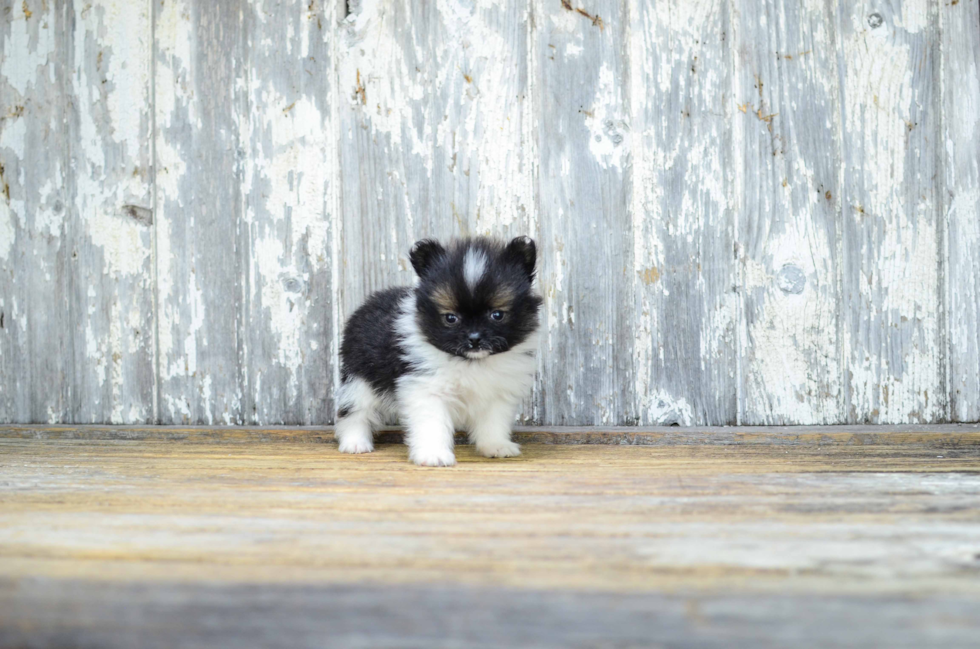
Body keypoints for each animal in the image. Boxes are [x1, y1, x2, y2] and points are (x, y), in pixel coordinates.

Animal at [334, 235, 540, 464]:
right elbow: (432, 424)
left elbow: (493, 422)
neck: (471, 362)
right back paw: (355, 442)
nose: (474, 338)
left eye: (497, 315)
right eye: (450, 318)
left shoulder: (497, 393)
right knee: (354, 412)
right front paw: (433, 455)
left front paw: (496, 446)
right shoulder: (426, 389)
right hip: (360, 380)